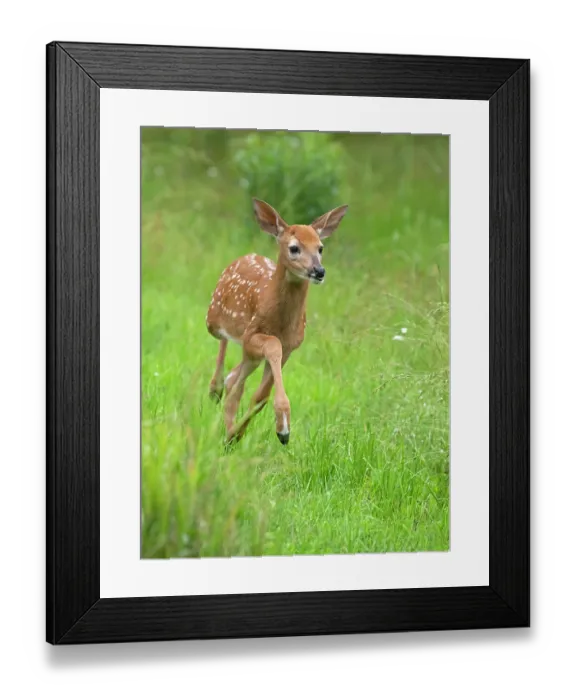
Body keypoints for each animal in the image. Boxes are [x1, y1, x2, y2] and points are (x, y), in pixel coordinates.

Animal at [206, 198, 348, 445]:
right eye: (294, 248)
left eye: (320, 247)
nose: (319, 271)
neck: (281, 323)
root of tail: (244, 256)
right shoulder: (253, 335)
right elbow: (272, 346)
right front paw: (282, 426)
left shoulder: (291, 346)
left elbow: (260, 396)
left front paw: (242, 434)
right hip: (212, 319)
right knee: (224, 346)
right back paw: (215, 389)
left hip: (249, 352)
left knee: (236, 378)